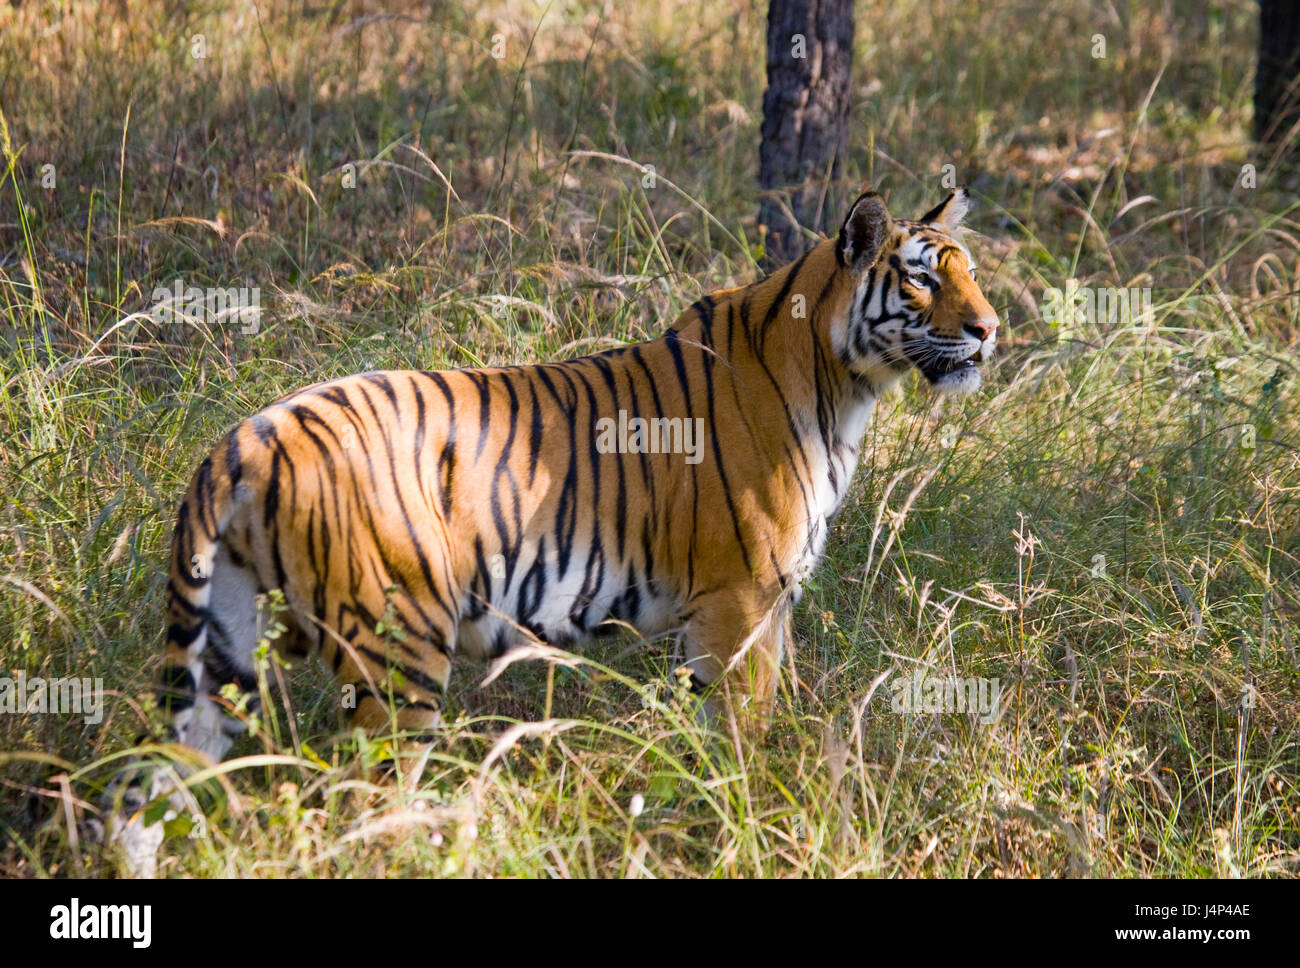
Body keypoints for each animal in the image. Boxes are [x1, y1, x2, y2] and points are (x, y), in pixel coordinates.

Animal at [106, 188, 998, 867]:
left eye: (972, 275)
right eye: (922, 281)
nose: (990, 330)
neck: (842, 385)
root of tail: (244, 438)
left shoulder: (761, 606)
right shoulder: (740, 600)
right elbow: (744, 734)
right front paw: (749, 823)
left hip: (222, 646)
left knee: (163, 778)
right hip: (400, 649)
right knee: (363, 801)